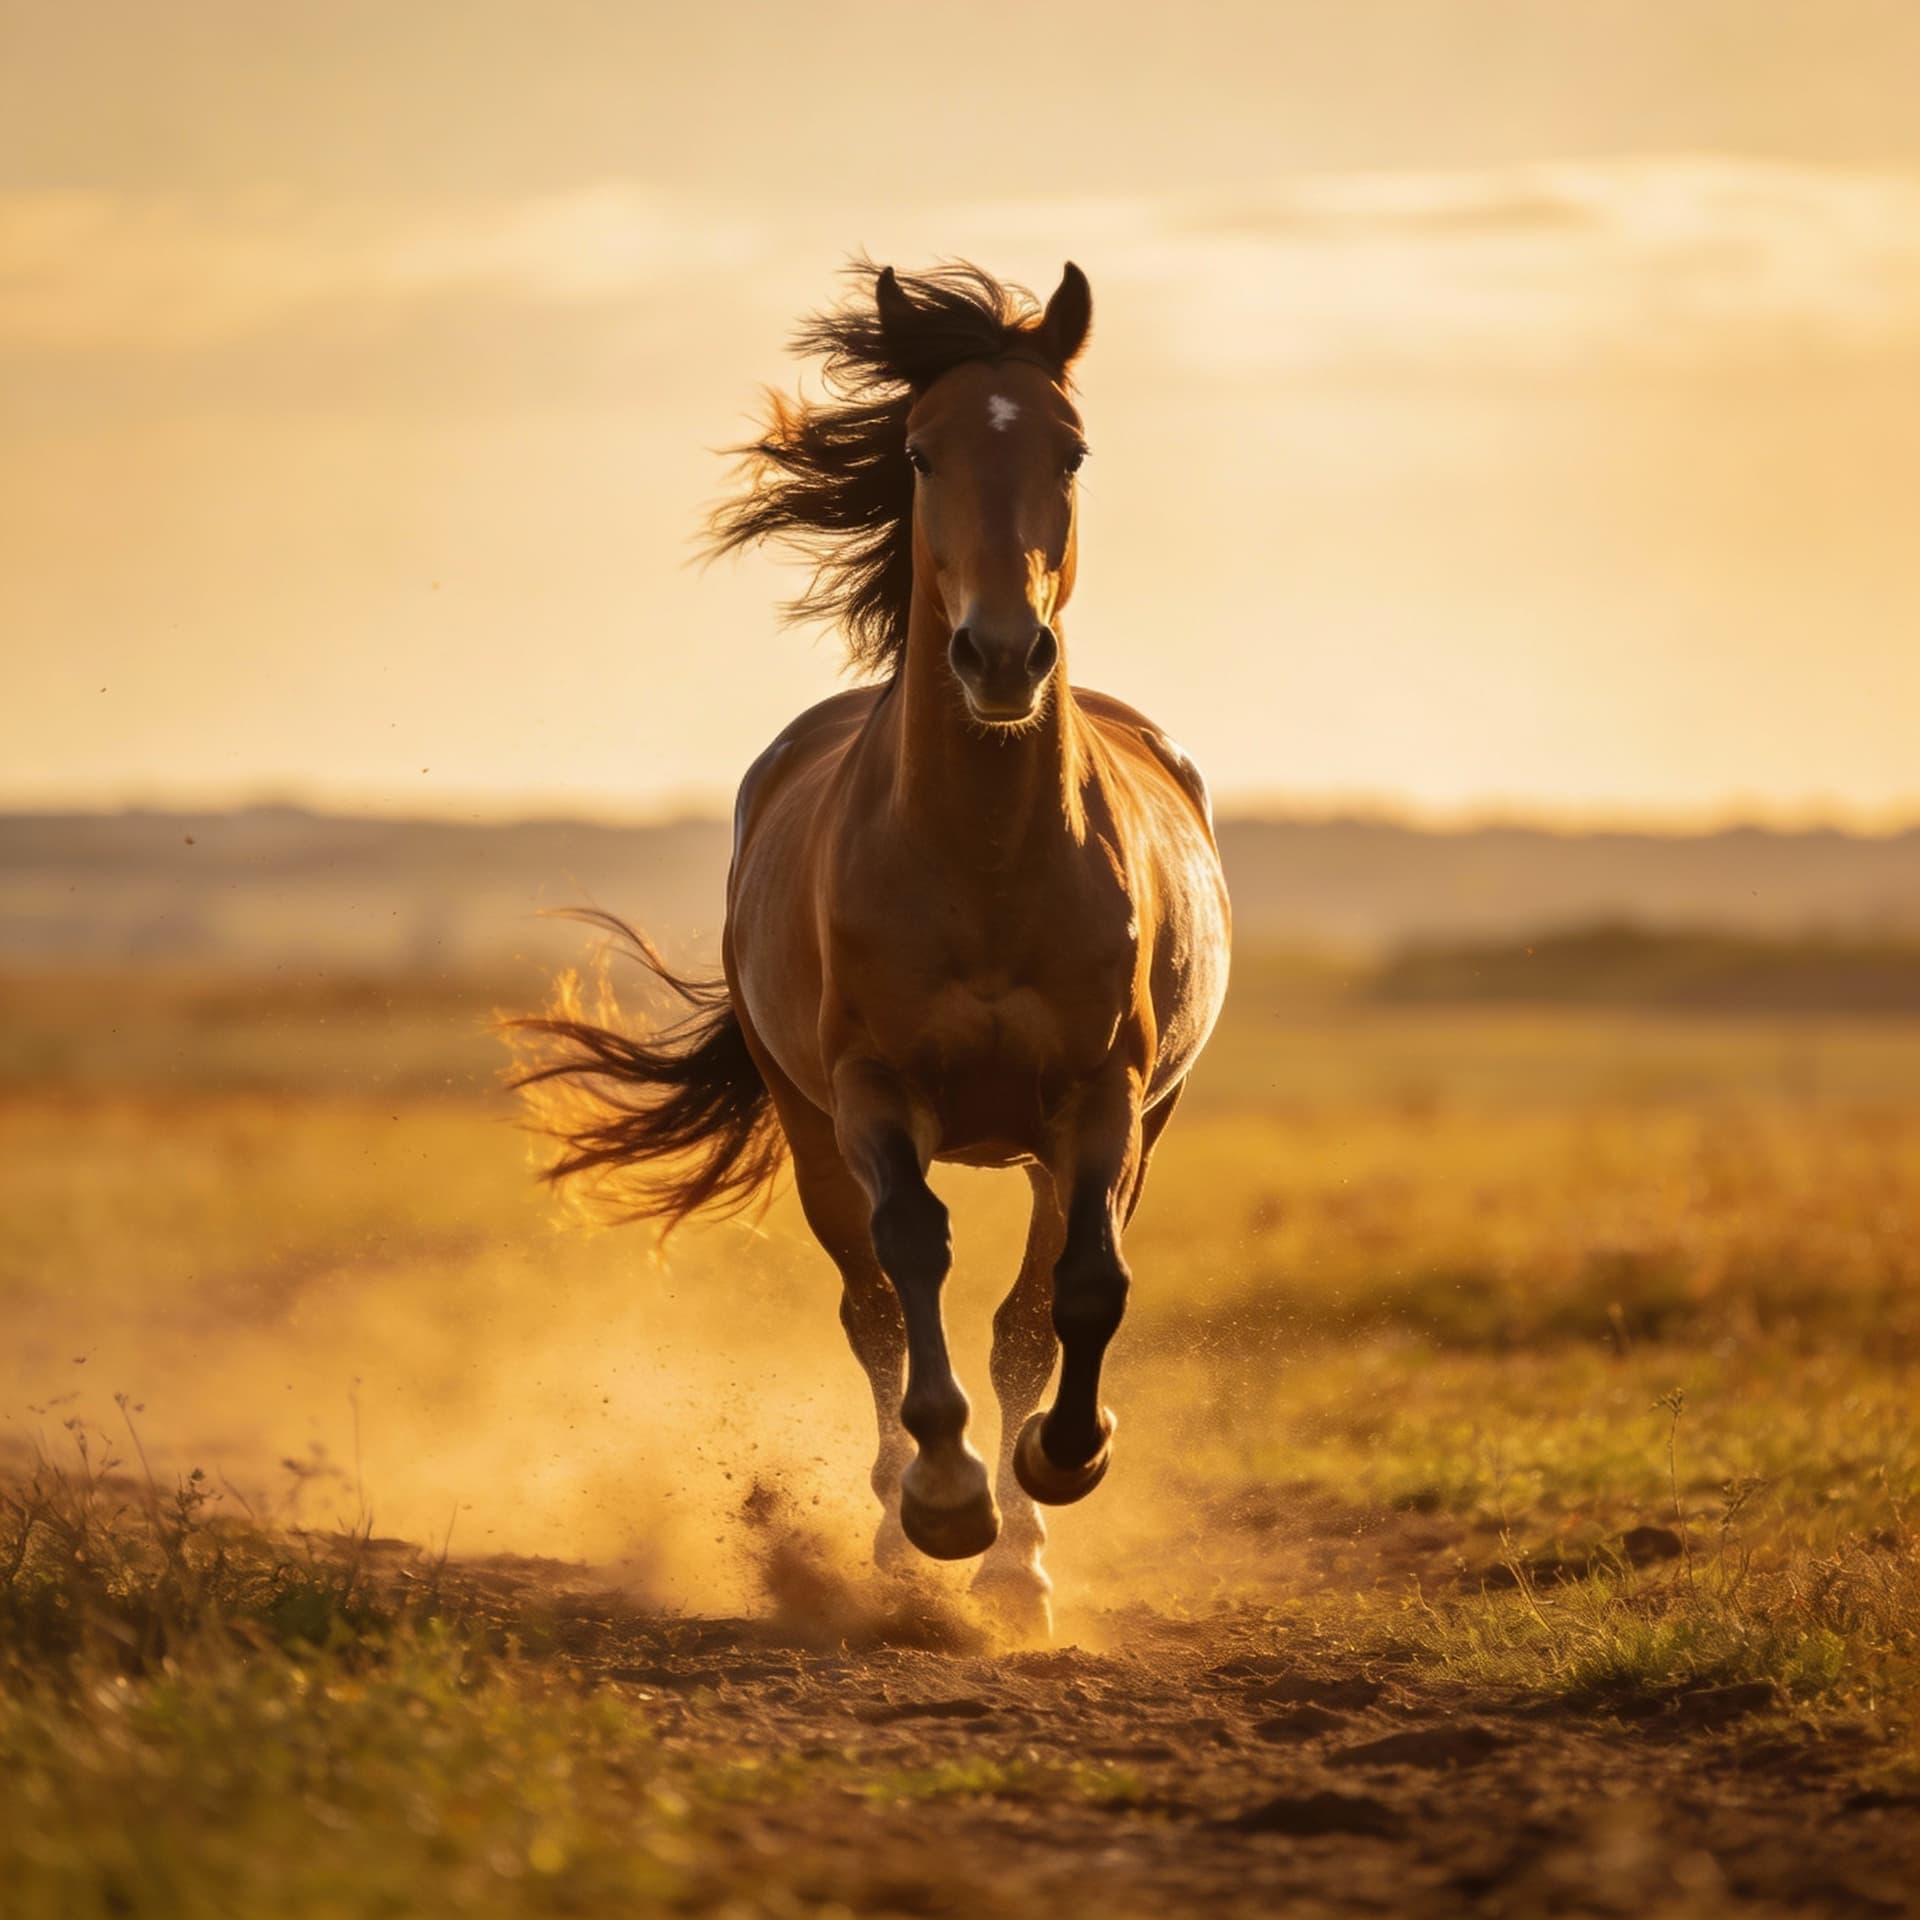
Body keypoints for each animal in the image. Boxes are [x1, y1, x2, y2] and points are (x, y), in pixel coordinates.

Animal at [511, 261, 1231, 1633]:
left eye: (1071, 449)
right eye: (919, 451)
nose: (1000, 655)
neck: (987, 860)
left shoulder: (1105, 1097)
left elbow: (1078, 1292)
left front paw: (1061, 1464)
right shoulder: (869, 1093)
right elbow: (910, 1266)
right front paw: (945, 1503)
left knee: (1026, 1306)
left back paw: (1020, 1567)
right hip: (808, 1124)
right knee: (872, 1308)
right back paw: (907, 1541)